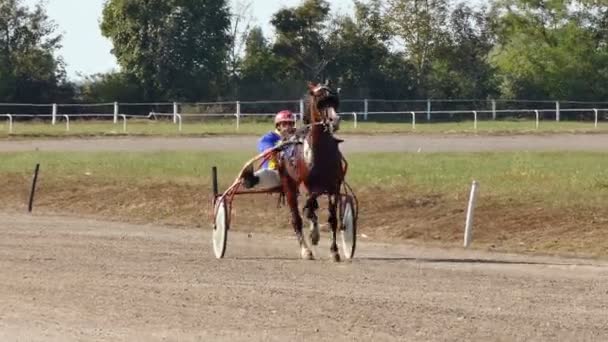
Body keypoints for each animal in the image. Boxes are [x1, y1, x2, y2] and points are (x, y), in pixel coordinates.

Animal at [276, 81, 344, 262]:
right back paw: (306, 249)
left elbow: (332, 219)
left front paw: (334, 251)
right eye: (320, 102)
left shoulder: (334, 187)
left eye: (334, 101)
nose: (334, 120)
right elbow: (308, 207)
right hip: (288, 184)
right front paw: (314, 234)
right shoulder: (309, 186)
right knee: (296, 218)